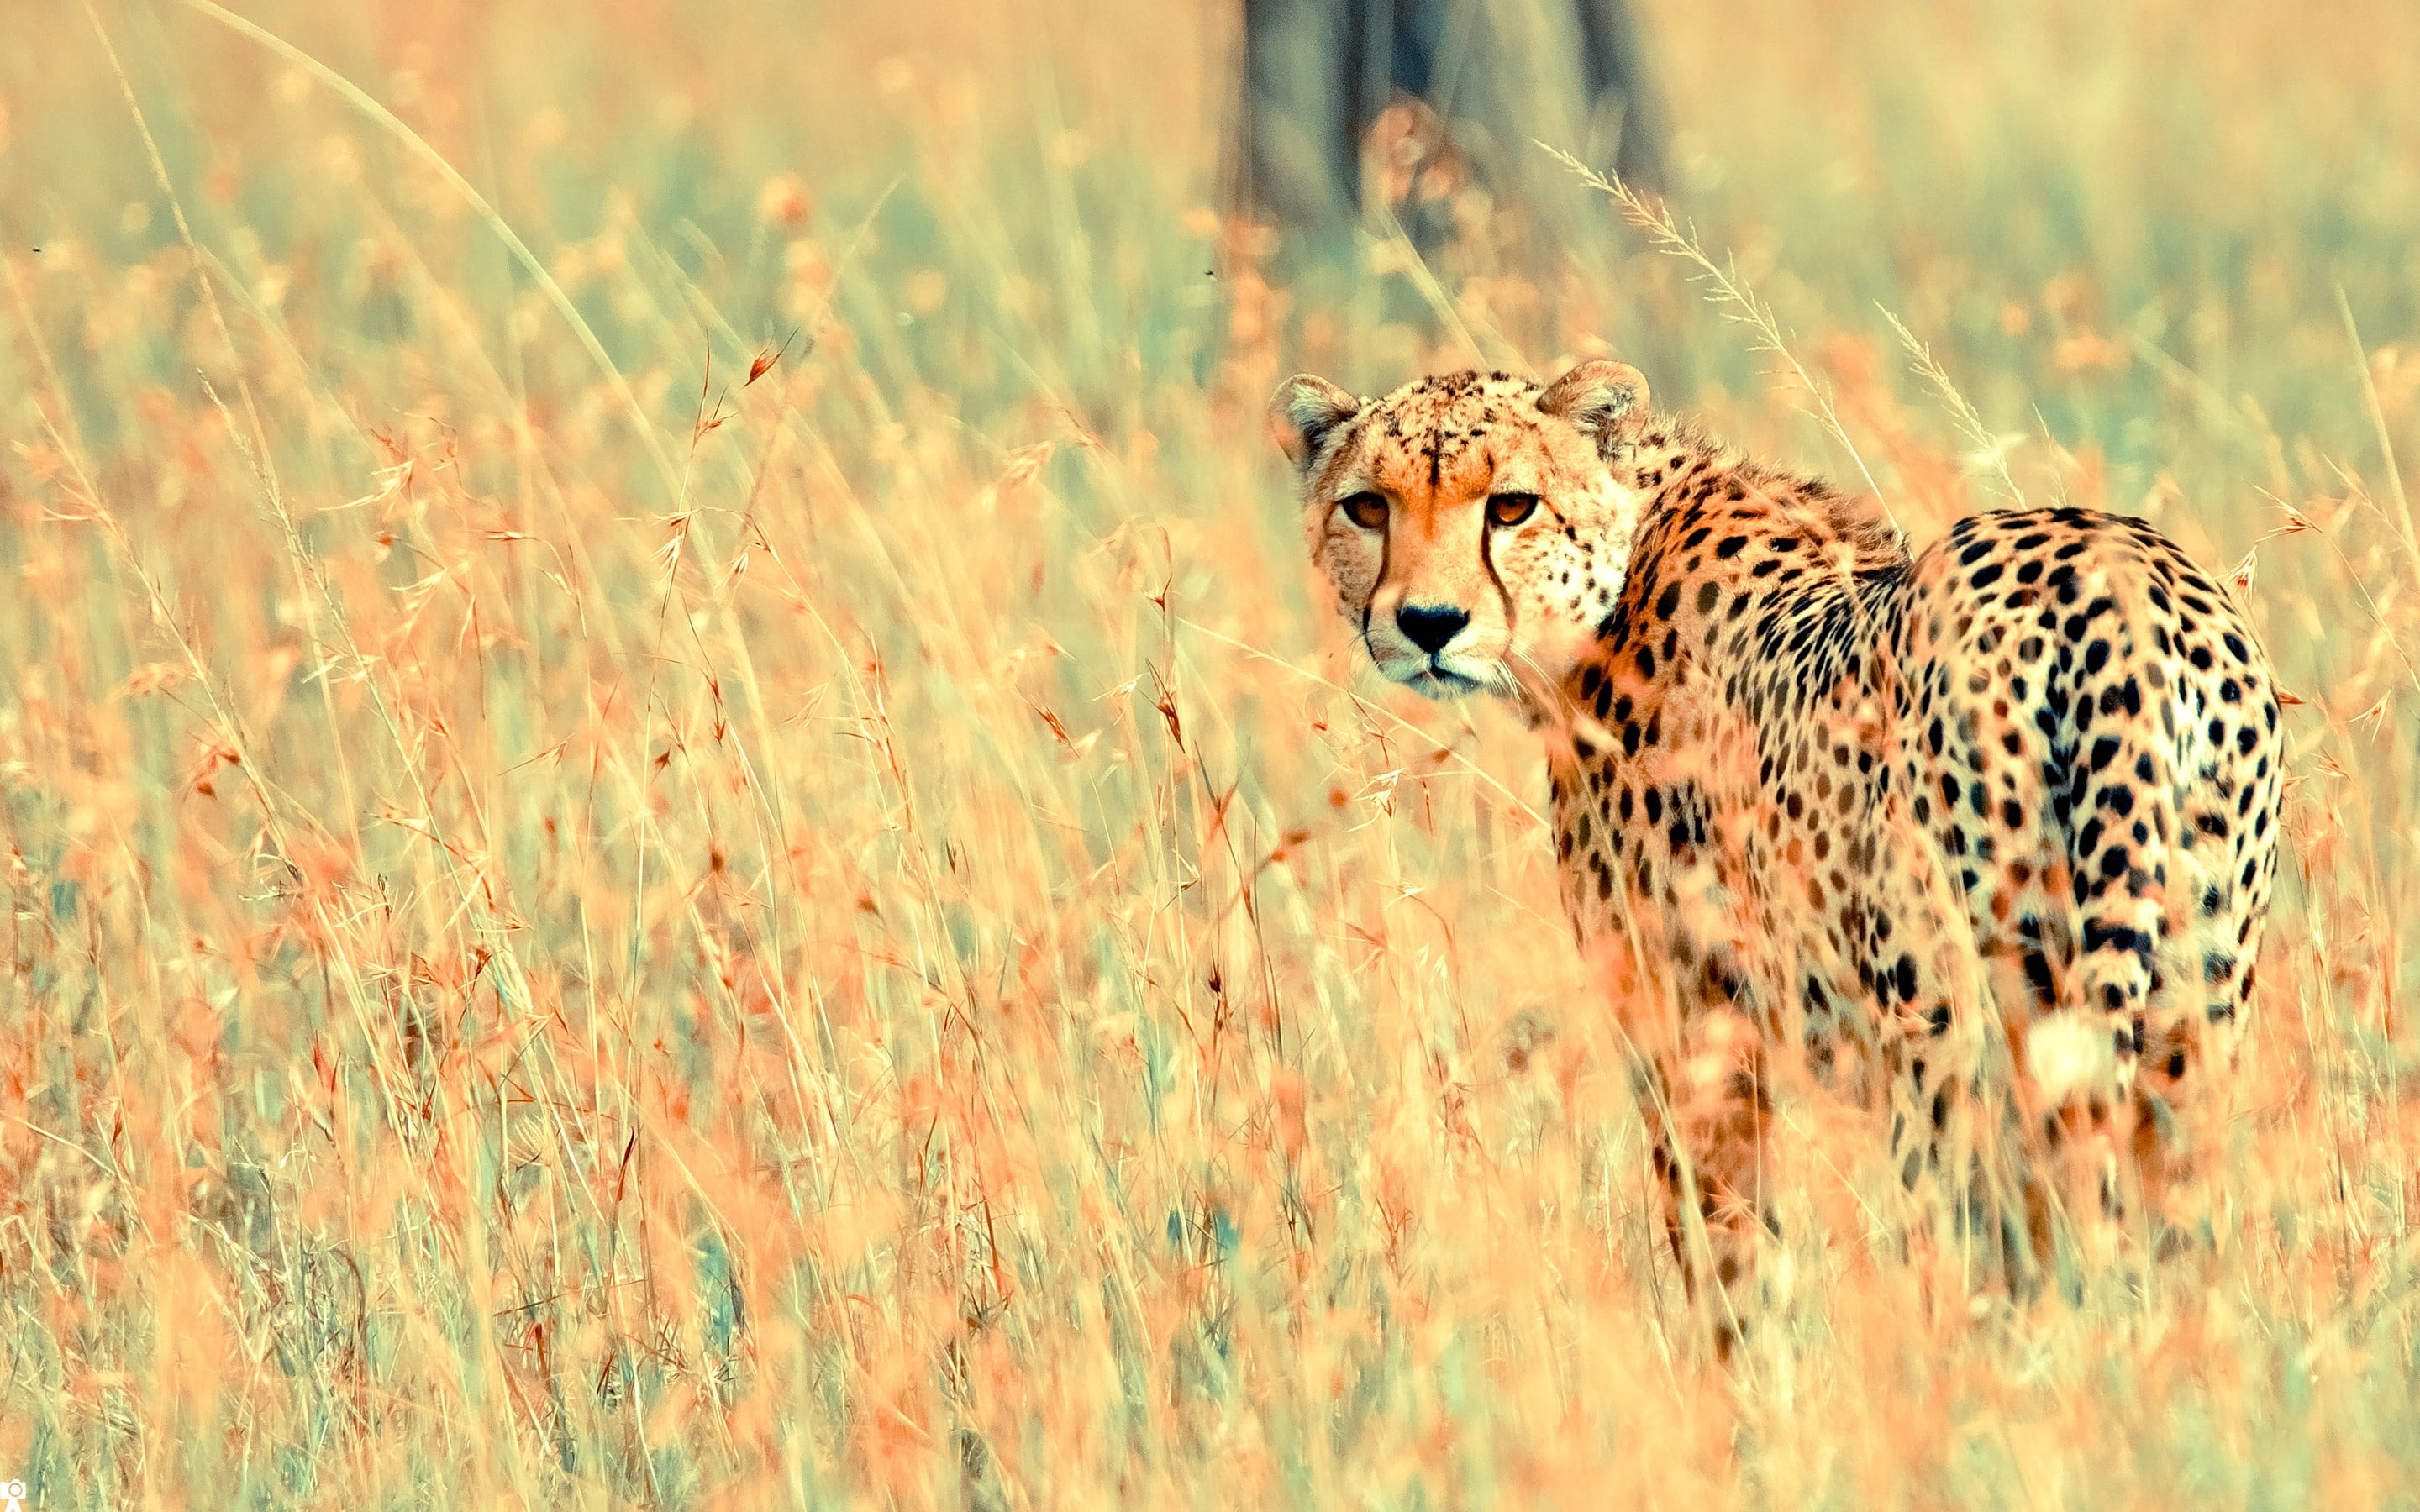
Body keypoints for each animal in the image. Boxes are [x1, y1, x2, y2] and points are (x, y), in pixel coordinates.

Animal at [1269, 360, 2285, 1336]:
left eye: (1511, 505)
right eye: (1369, 506)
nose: (1428, 625)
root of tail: (2118, 578)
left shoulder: (1693, 1033)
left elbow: (1727, 1261)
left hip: (1949, 1026)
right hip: (2194, 1007)